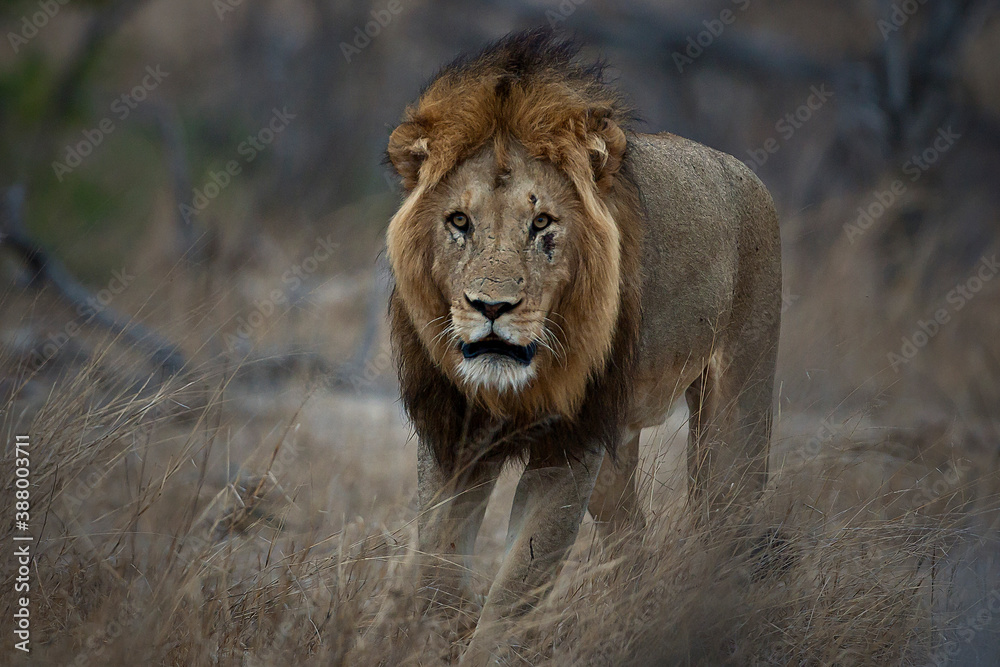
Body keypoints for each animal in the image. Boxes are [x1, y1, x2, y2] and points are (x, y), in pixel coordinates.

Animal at [382, 30, 780, 664]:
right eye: (459, 221)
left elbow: (519, 581)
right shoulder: (454, 437)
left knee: (724, 521)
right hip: (615, 445)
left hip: (734, 412)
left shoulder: (568, 449)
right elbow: (437, 568)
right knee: (631, 536)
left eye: (542, 223)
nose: (491, 307)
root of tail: (744, 171)